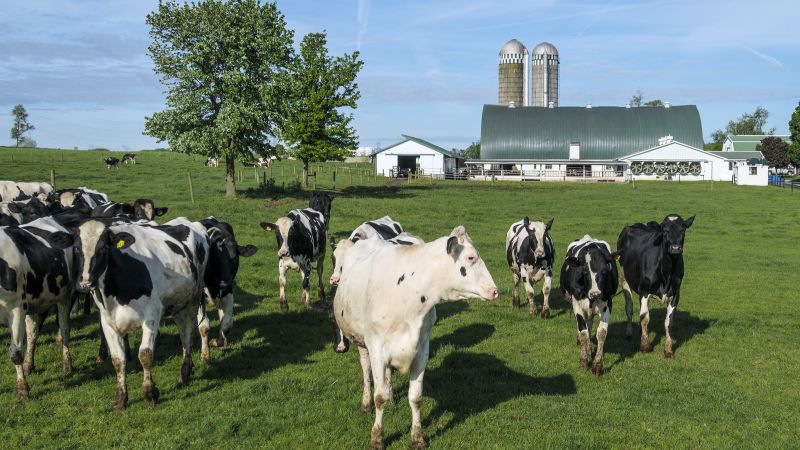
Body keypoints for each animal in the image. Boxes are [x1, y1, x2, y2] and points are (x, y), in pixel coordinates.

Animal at [0, 216, 77, 400]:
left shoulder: (16, 308)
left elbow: (15, 353)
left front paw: (23, 390)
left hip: (65, 296)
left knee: (64, 329)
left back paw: (67, 365)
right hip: (35, 303)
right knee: (32, 333)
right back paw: (29, 365)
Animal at [48, 216, 208, 410]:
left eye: (103, 248)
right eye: (77, 249)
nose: (85, 283)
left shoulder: (152, 315)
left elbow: (145, 355)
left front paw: (150, 393)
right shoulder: (107, 322)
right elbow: (118, 360)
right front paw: (121, 399)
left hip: (193, 299)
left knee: (187, 336)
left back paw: (184, 374)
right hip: (178, 303)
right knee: (183, 334)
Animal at [195, 216, 258, 360]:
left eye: (235, 258)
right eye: (214, 258)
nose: (225, 283)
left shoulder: (228, 292)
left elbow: (227, 323)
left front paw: (218, 342)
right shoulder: (199, 296)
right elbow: (204, 326)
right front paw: (205, 354)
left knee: (222, 314)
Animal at [564, 234, 620, 374]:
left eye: (605, 271)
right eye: (584, 272)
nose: (595, 294)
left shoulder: (607, 304)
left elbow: (601, 333)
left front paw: (597, 365)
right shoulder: (577, 305)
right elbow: (583, 332)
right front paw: (584, 361)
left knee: (589, 324)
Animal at [620, 214, 692, 358]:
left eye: (683, 230)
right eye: (665, 231)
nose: (675, 248)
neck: (667, 271)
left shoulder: (676, 294)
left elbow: (669, 323)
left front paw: (668, 350)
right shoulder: (644, 290)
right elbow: (644, 318)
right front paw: (645, 346)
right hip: (624, 277)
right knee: (629, 307)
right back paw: (629, 333)